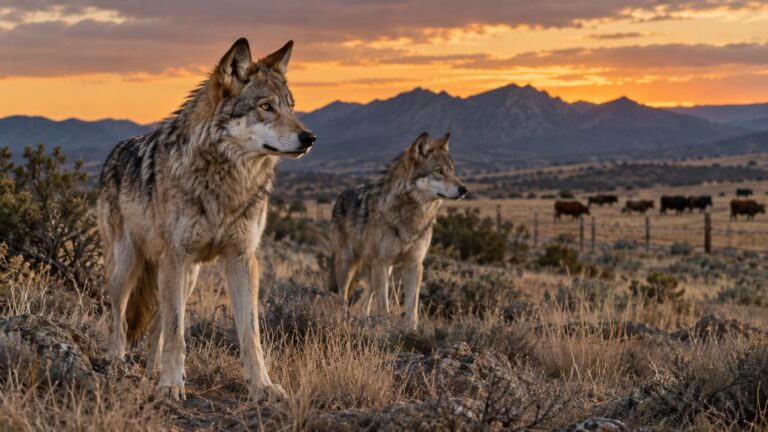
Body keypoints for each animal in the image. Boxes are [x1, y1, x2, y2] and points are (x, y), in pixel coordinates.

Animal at [97, 38, 315, 402]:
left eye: (291, 107)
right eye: (266, 107)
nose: (309, 138)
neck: (227, 184)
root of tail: (113, 153)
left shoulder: (242, 258)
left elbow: (250, 335)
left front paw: (263, 386)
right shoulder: (176, 256)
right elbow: (176, 333)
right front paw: (172, 386)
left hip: (186, 277)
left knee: (157, 324)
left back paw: (153, 371)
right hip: (128, 267)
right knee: (120, 319)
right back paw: (117, 363)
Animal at [328, 132, 467, 329]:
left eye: (453, 171)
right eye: (438, 171)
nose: (464, 189)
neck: (410, 217)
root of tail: (340, 196)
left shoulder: (414, 264)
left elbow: (412, 308)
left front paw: (412, 331)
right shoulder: (382, 262)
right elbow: (383, 305)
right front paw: (384, 328)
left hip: (382, 269)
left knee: (366, 296)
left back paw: (364, 318)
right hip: (348, 264)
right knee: (343, 296)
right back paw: (344, 319)